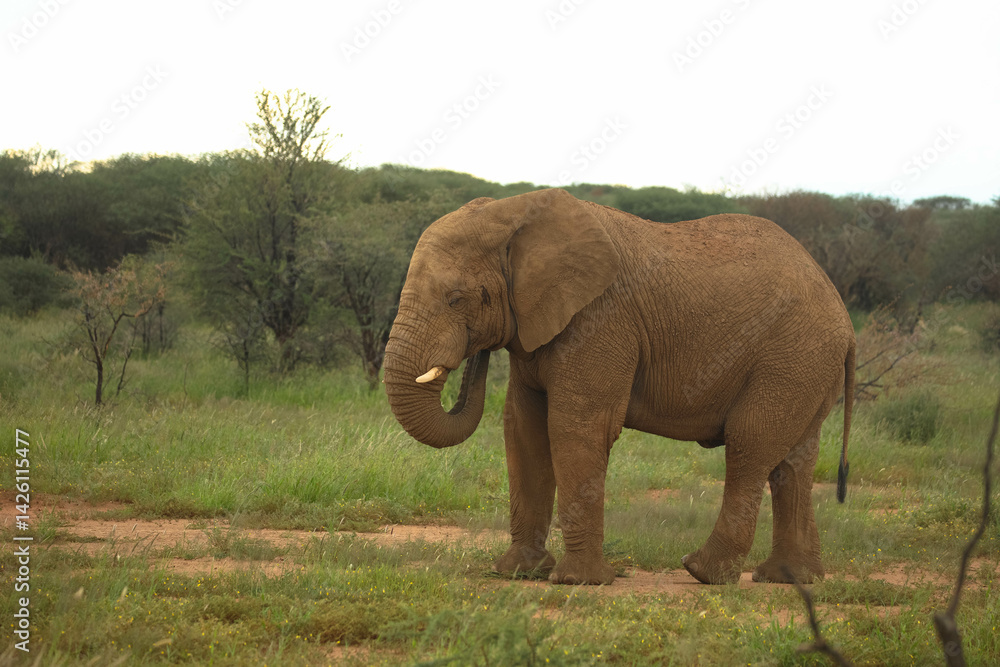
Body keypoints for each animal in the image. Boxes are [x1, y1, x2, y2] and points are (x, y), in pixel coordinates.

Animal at [383, 188, 854, 585]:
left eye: (457, 299)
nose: (473, 356)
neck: (516, 210)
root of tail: (845, 319)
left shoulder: (601, 319)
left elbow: (575, 428)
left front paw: (579, 582)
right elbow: (523, 430)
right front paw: (516, 573)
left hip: (793, 356)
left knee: (750, 445)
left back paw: (703, 572)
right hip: (807, 364)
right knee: (794, 460)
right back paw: (789, 579)